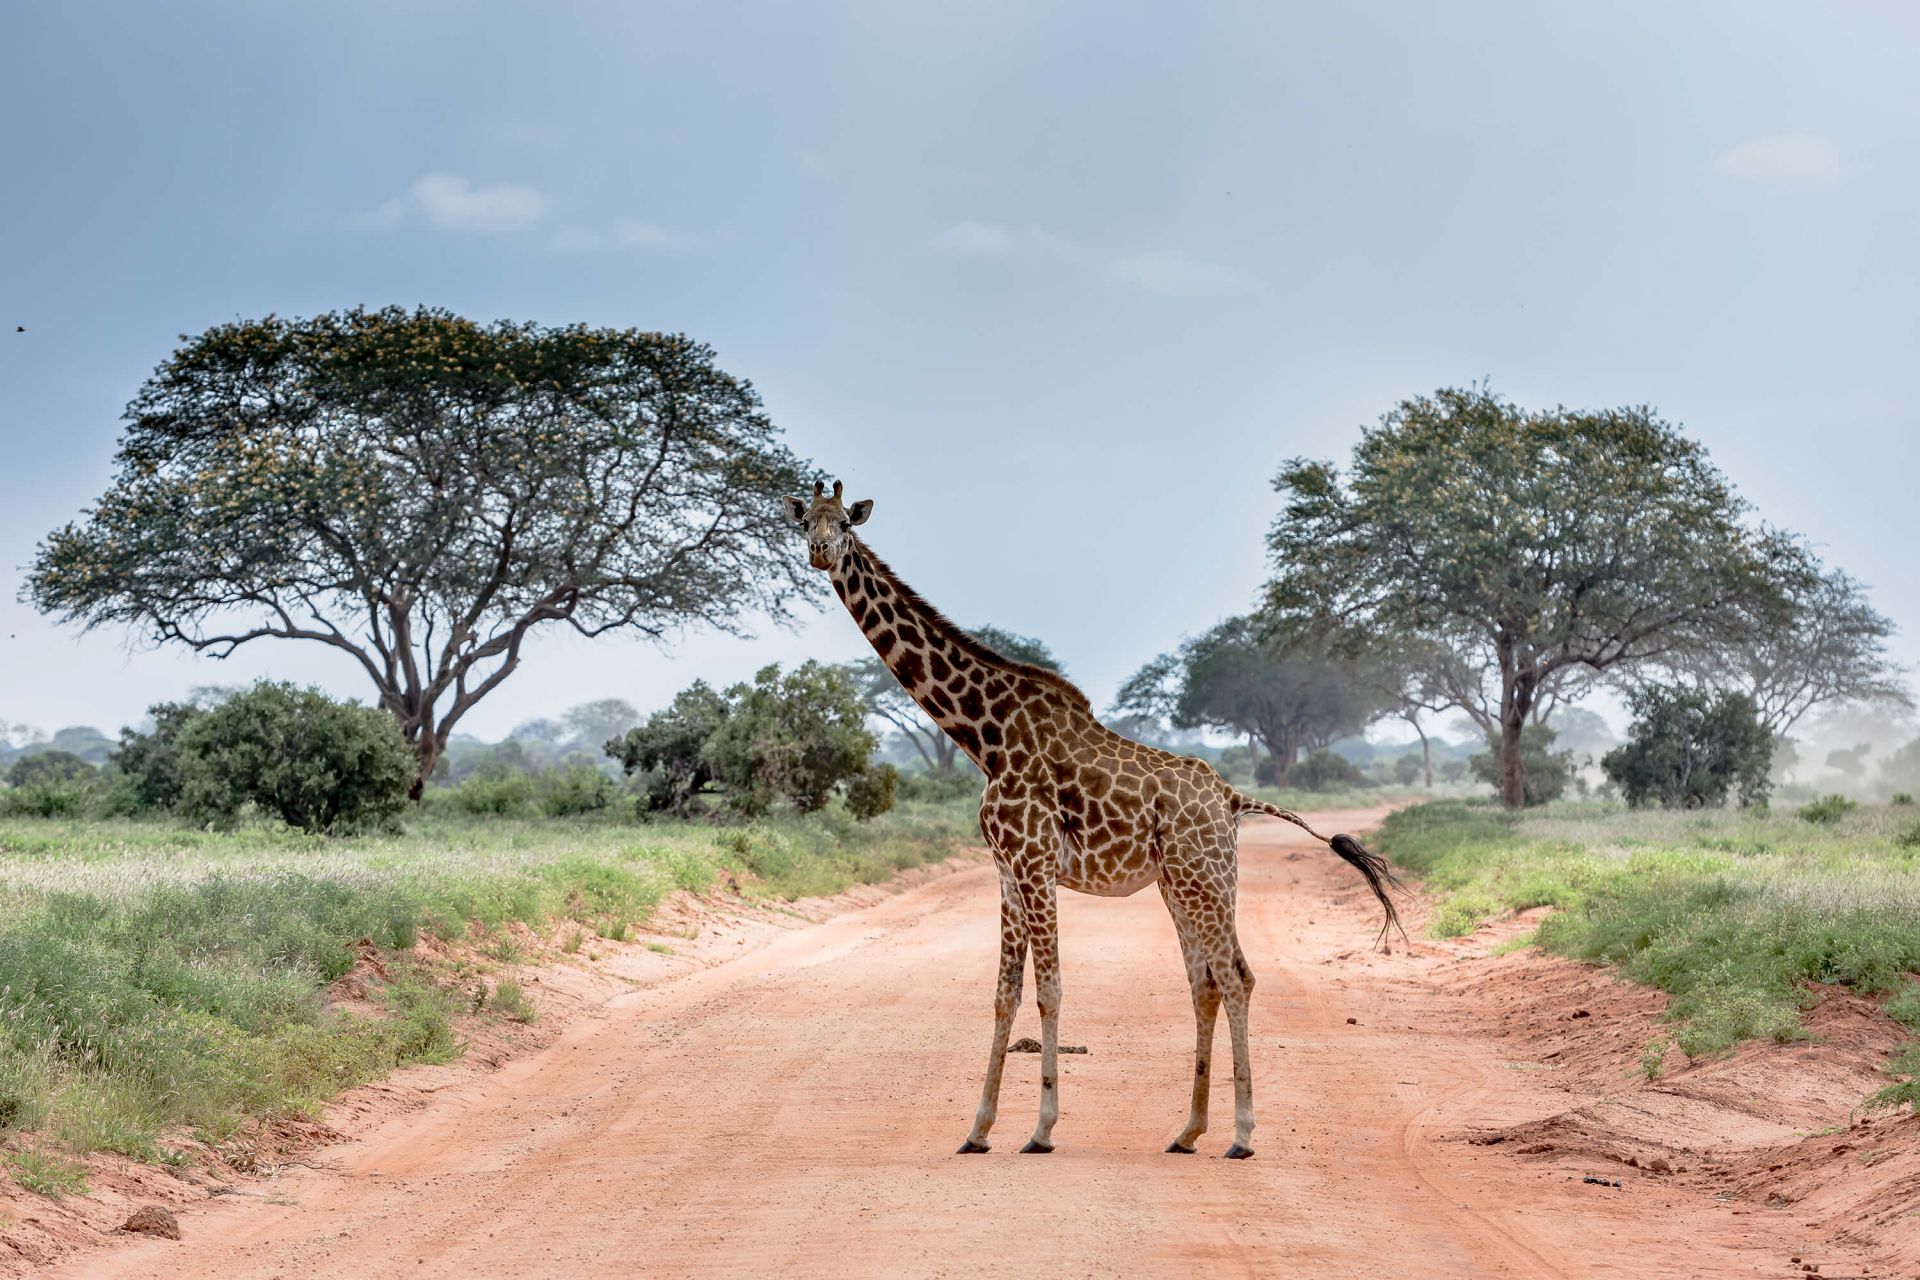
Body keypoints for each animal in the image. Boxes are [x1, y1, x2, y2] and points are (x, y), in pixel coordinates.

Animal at [786, 480, 1403, 1158]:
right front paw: (977, 1130)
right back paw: (1188, 1130)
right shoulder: (1005, 870)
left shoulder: (1034, 863)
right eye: (805, 521)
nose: (820, 552)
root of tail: (1232, 798)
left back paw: (1241, 1135)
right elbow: (1004, 994)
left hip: (1205, 878)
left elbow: (1050, 989)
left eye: (845, 524)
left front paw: (1041, 1129)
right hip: (1182, 884)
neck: (984, 736)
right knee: (1206, 982)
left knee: (1237, 976)